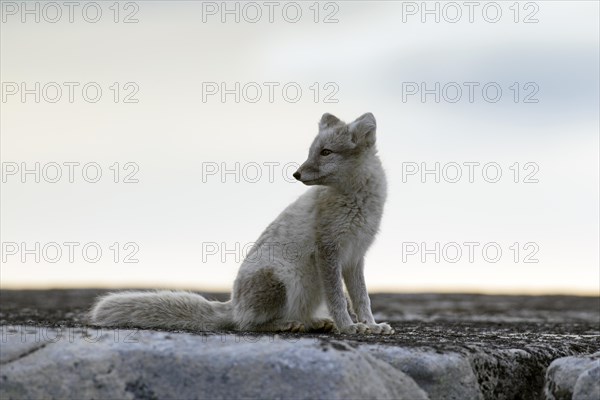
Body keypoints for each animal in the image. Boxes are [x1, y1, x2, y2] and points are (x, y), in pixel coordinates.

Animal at [91, 111, 394, 334]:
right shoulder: (328, 250)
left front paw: (371, 325)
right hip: (280, 278)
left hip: (308, 287)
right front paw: (349, 327)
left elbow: (361, 297)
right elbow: (338, 299)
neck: (358, 200)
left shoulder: (354, 256)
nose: (296, 174)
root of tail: (233, 304)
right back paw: (284, 324)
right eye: (312, 151)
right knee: (246, 325)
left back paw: (312, 322)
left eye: (326, 152)